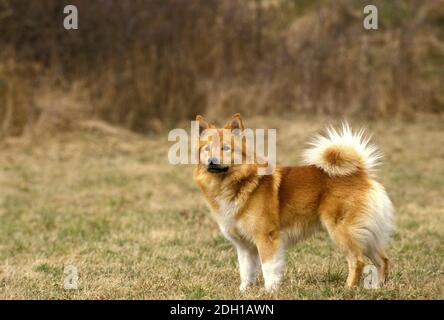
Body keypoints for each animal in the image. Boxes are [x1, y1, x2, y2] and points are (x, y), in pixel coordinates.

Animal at [194, 114, 396, 292]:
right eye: (207, 149)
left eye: (226, 148)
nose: (212, 161)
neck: (238, 183)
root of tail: (359, 173)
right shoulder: (244, 246)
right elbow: (246, 271)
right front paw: (244, 290)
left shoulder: (266, 238)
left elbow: (268, 268)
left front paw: (270, 291)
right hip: (365, 234)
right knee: (383, 260)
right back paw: (377, 288)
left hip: (343, 231)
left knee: (358, 261)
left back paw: (348, 289)